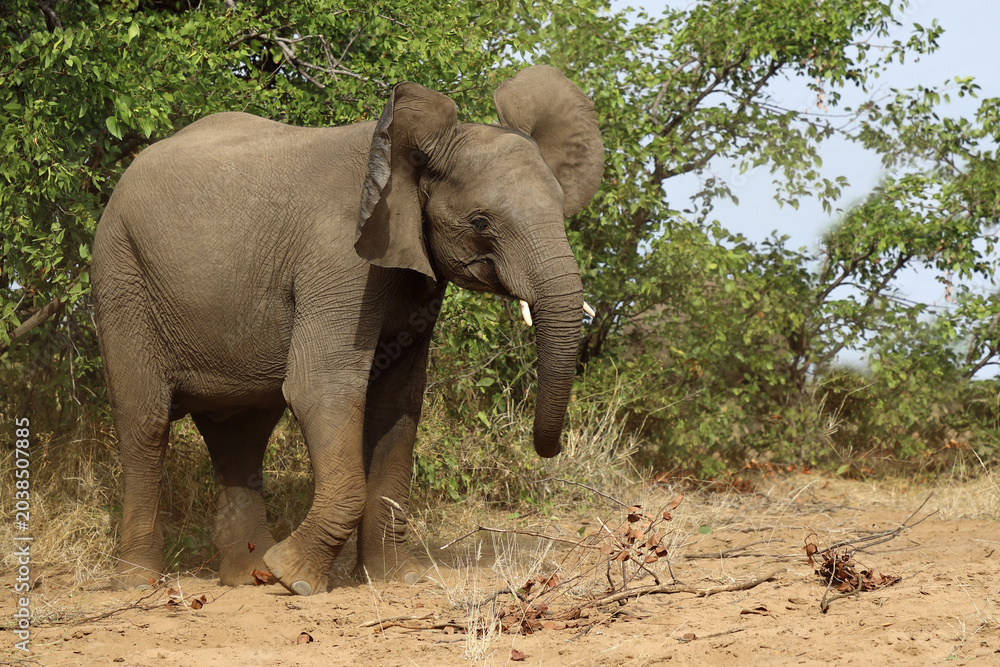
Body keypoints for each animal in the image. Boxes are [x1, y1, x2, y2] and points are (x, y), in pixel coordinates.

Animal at [91, 65, 604, 596]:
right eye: (482, 222)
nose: (550, 448)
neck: (404, 153)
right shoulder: (338, 259)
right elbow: (322, 387)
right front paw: (295, 579)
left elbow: (396, 404)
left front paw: (398, 577)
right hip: (122, 273)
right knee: (145, 422)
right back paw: (140, 583)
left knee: (242, 430)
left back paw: (248, 577)